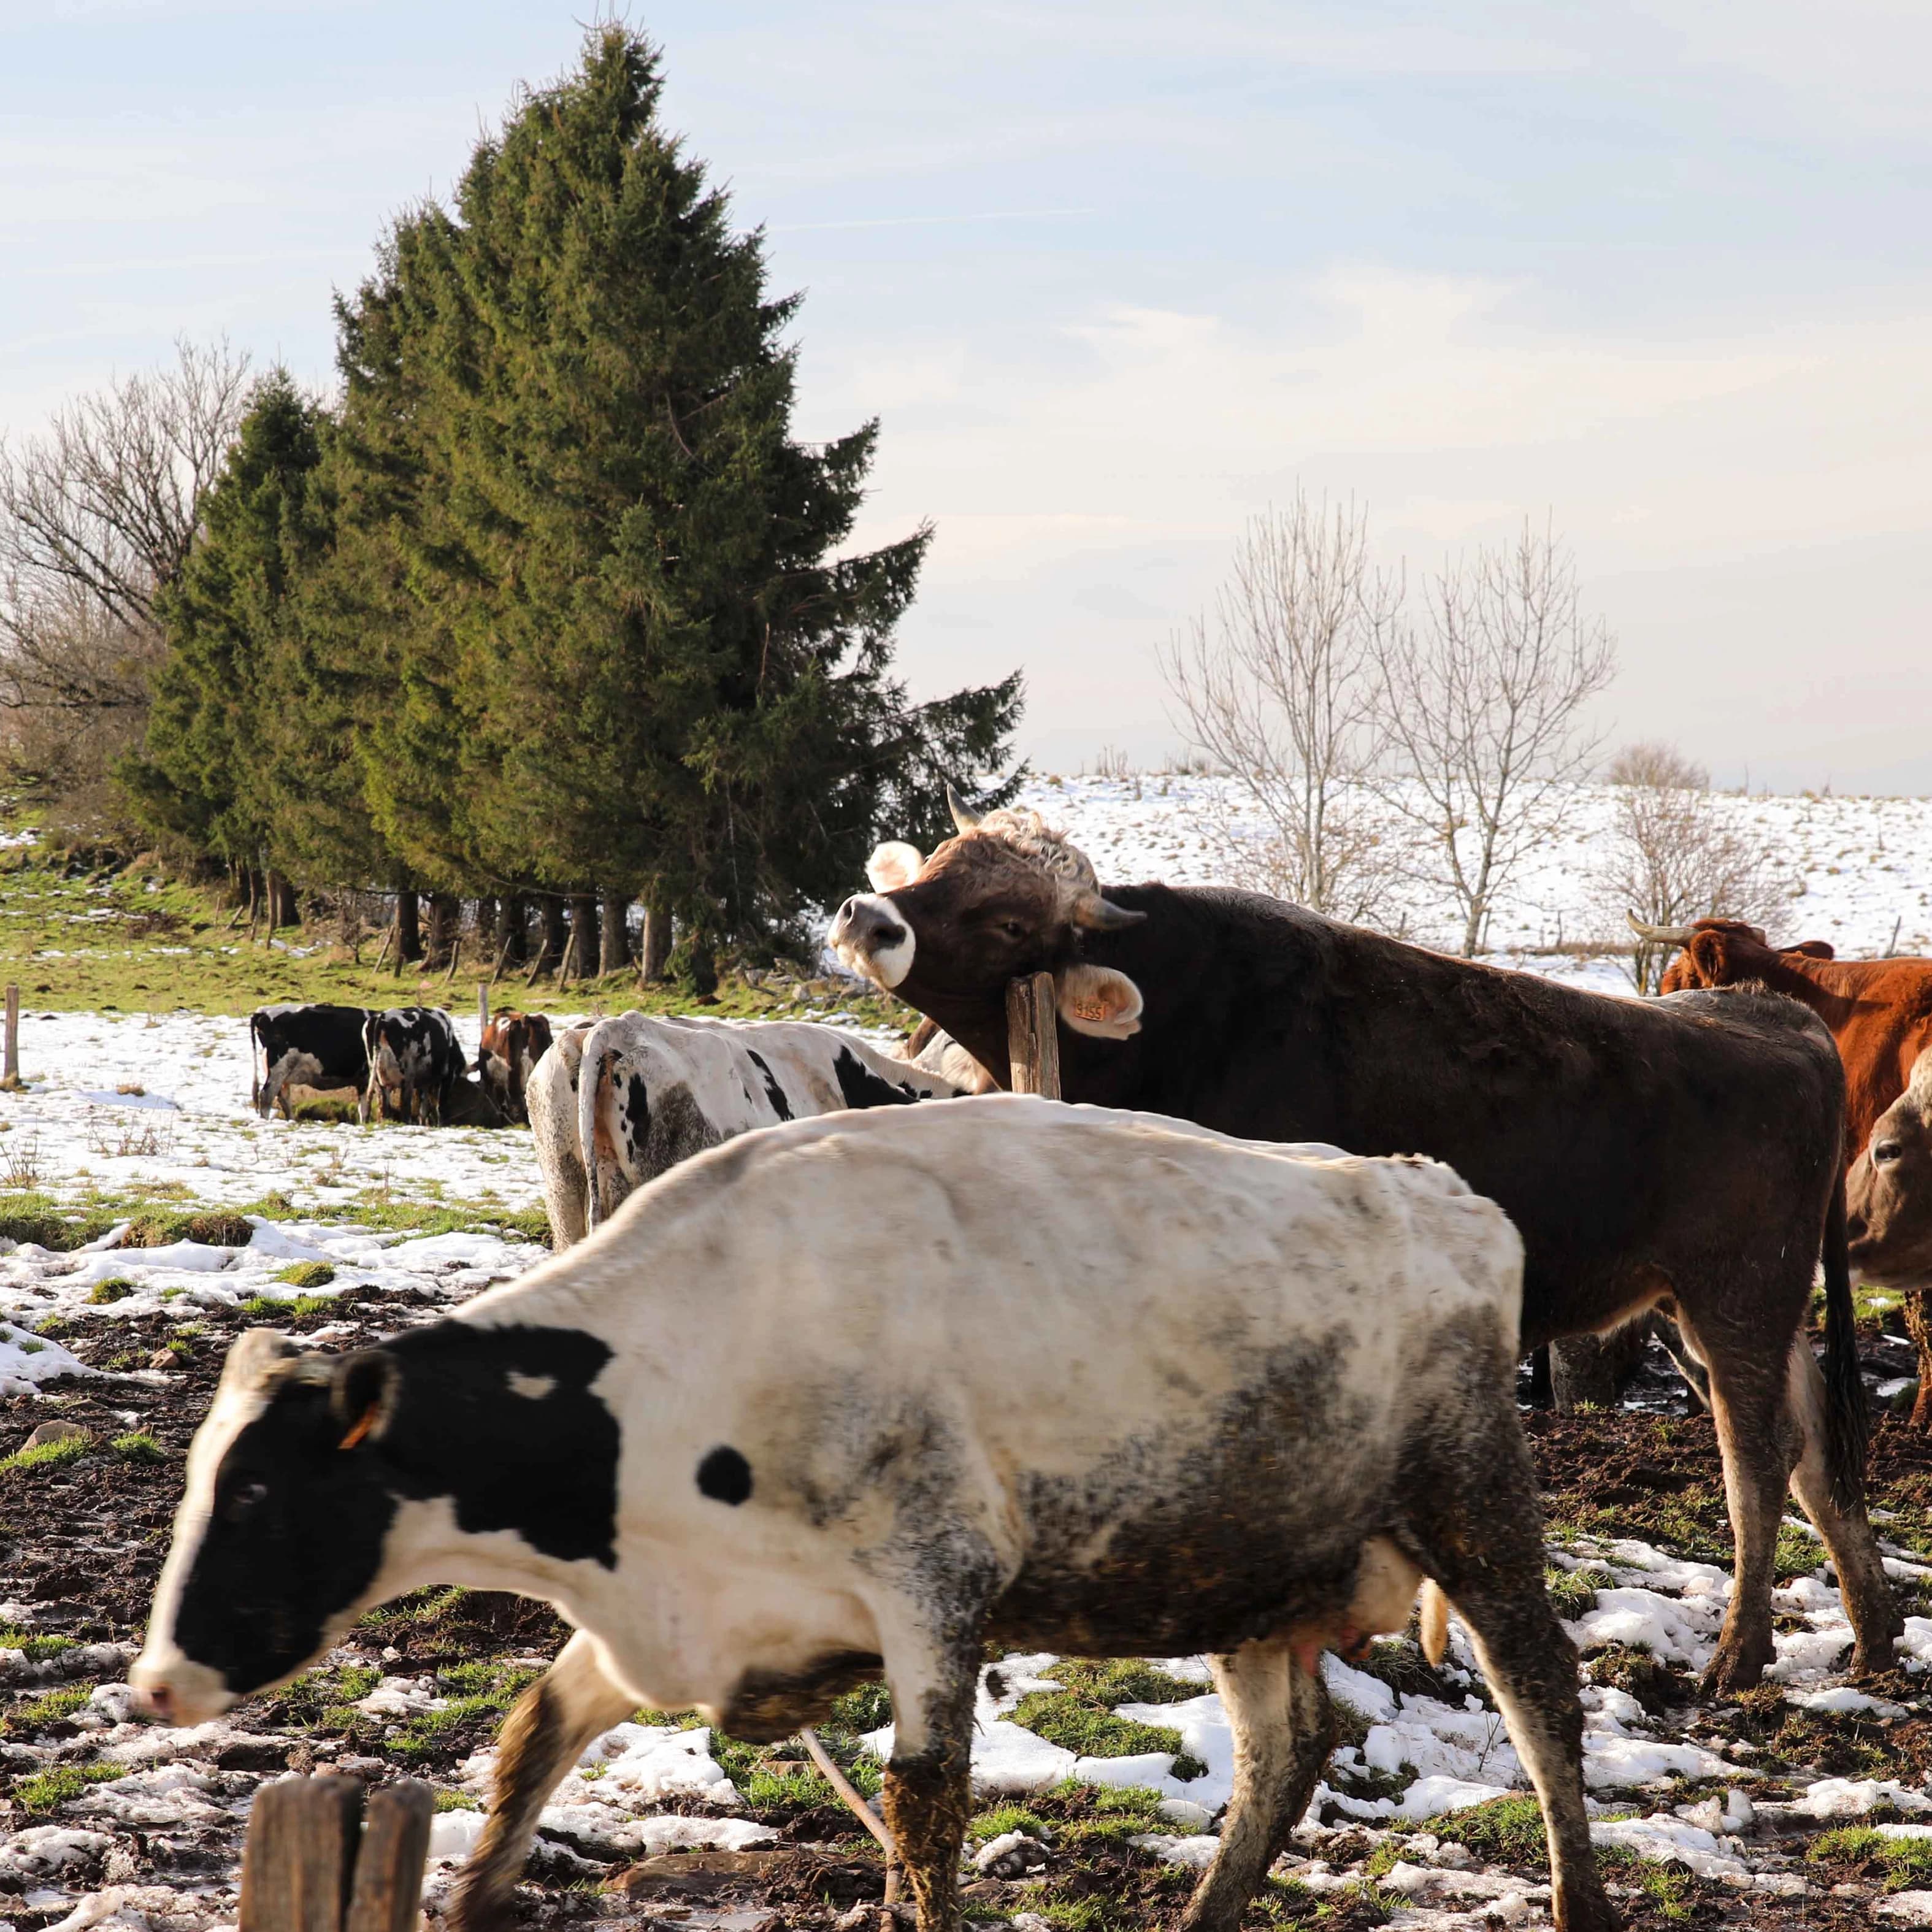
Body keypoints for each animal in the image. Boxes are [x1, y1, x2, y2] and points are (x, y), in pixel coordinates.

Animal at [131, 1098, 1618, 1932]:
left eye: (257, 1490)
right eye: (204, 1480)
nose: (153, 1682)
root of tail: (1435, 1185)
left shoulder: (933, 1586)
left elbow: (923, 1809)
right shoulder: (675, 1621)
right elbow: (529, 1744)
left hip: (1474, 1504)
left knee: (1543, 1698)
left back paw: (1580, 1904)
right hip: (1240, 1566)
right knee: (1283, 1754)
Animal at [248, 1004, 370, 1120]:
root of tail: (264, 1011)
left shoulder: (363, 1080)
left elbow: (363, 1108)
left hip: (283, 1074)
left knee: (283, 1098)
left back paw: (292, 1121)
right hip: (279, 1068)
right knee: (266, 1097)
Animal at [360, 1007, 467, 1126]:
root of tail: (382, 1017)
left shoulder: (424, 1081)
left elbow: (423, 1108)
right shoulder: (448, 1076)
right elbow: (440, 1106)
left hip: (378, 1078)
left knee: (384, 1106)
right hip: (407, 1077)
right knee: (405, 1106)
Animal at [828, 795, 1901, 1691]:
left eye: (1011, 922)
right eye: (936, 865)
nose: (866, 916)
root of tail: (1770, 1012)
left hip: (1740, 1291)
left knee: (1754, 1457)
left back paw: (1738, 1656)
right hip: (1703, 1302)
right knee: (1811, 1442)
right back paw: (1874, 1636)